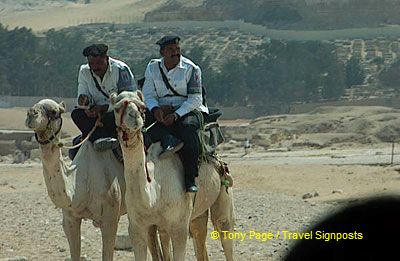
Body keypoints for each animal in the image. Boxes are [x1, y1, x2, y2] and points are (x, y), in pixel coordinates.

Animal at [109, 90, 234, 260]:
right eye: (116, 108)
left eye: (142, 107)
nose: (134, 116)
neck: (153, 196)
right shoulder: (136, 227)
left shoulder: (179, 227)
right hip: (196, 211)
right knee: (198, 233)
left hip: (223, 188)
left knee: (224, 227)